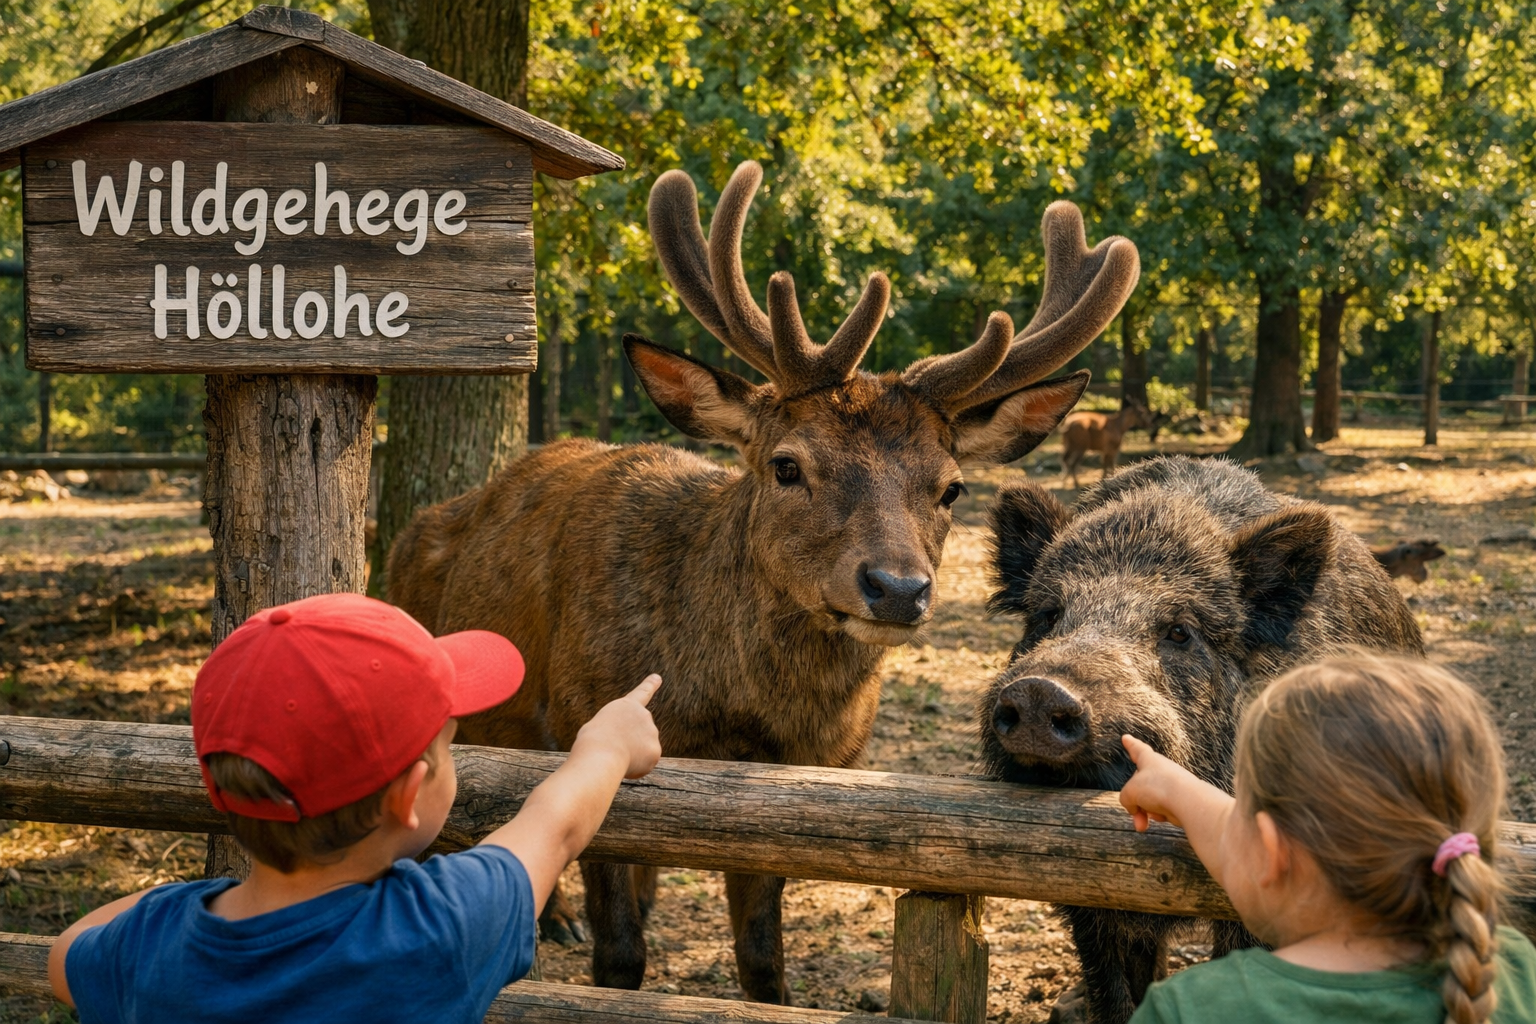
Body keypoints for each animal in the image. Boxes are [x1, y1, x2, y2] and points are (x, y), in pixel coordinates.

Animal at [385, 160, 1140, 1004]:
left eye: (951, 487)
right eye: (787, 466)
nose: (897, 587)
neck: (733, 718)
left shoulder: (787, 797)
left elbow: (762, 958)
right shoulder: (585, 724)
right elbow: (621, 955)